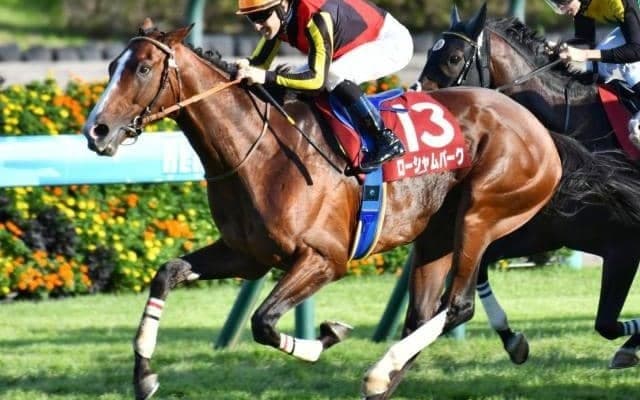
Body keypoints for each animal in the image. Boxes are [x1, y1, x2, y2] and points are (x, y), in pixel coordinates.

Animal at [82, 18, 565, 400]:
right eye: (111, 67)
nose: (96, 131)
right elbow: (167, 274)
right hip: (436, 235)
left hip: (480, 215)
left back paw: (378, 375)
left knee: (459, 305)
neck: (260, 151)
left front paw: (328, 335)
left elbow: (262, 321)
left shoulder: (325, 259)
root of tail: (534, 125)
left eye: (143, 68)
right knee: (423, 316)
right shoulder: (246, 255)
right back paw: (386, 378)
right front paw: (144, 376)